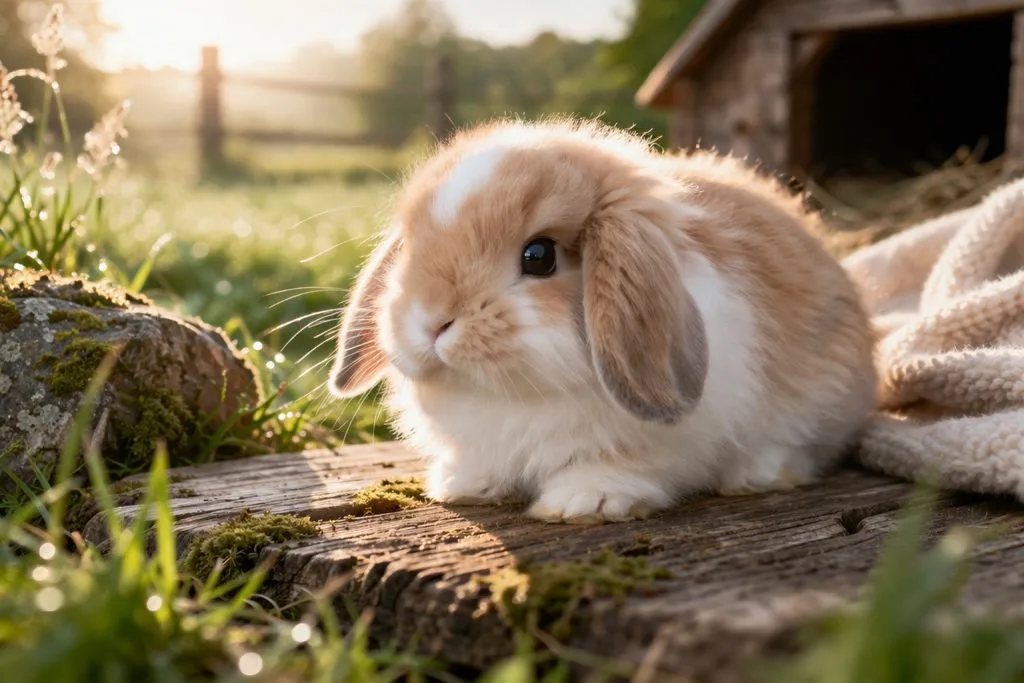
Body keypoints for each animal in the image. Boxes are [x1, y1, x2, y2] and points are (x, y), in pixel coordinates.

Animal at [329, 118, 878, 524]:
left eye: (539, 256)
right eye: (409, 249)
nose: (431, 322)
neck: (514, 395)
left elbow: (623, 464)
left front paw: (581, 503)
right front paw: (463, 487)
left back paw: (756, 474)